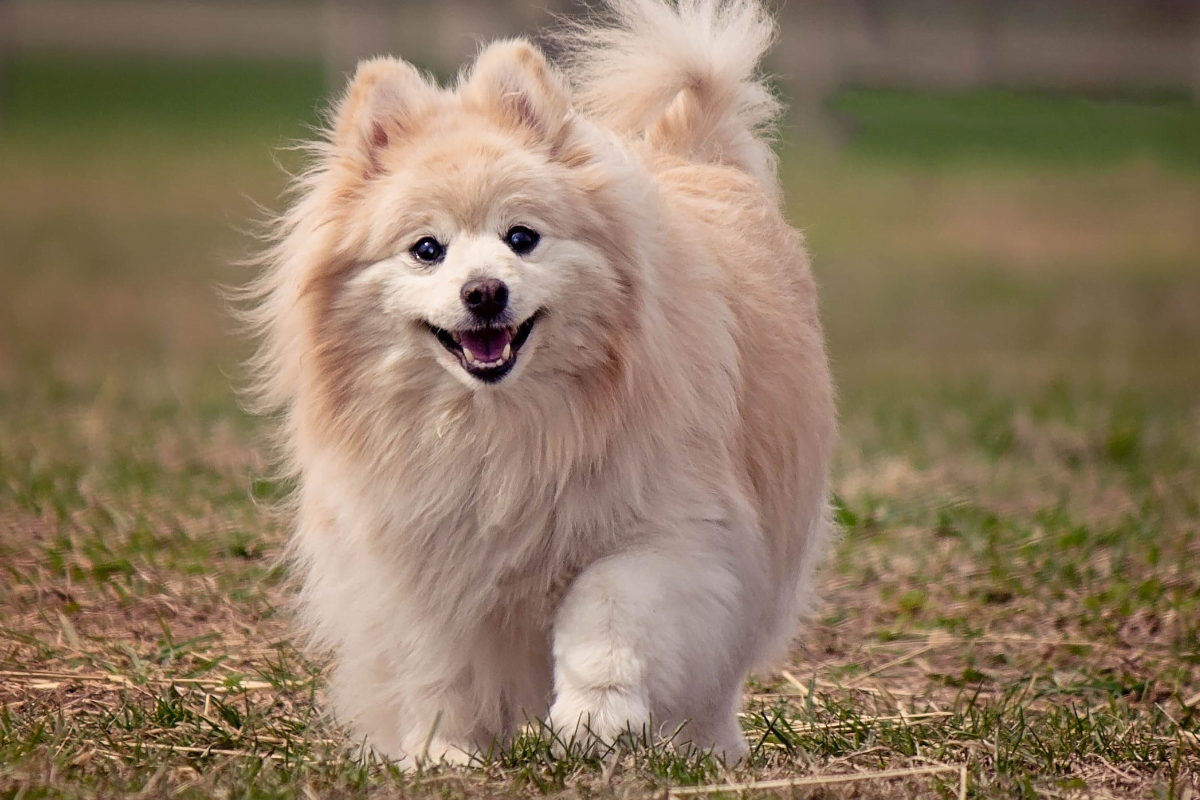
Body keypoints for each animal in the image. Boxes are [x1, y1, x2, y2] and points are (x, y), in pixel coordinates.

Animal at [244, 0, 835, 767]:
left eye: (521, 238)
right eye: (427, 249)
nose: (484, 291)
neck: (499, 428)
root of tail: (695, 155)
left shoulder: (668, 533)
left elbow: (605, 614)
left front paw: (594, 717)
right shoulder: (419, 559)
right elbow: (439, 666)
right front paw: (443, 753)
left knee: (715, 674)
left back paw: (707, 749)